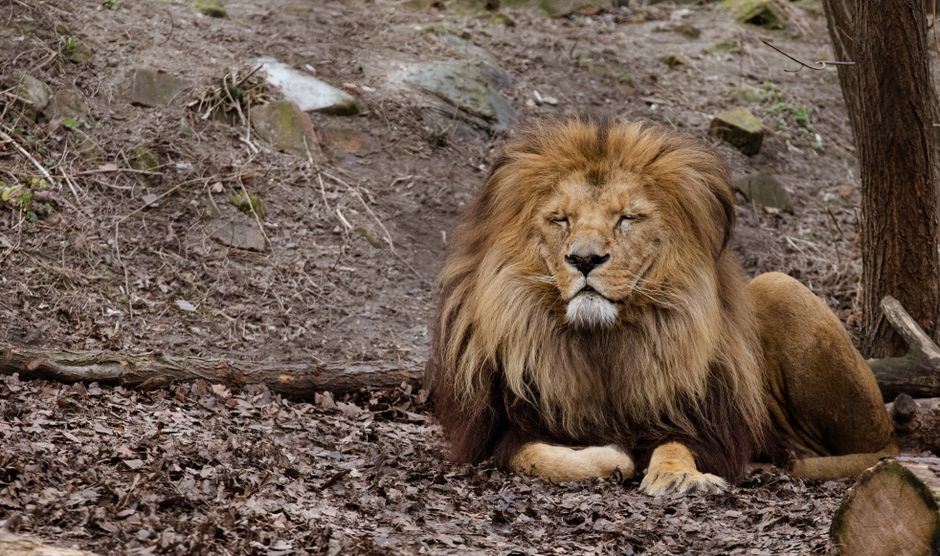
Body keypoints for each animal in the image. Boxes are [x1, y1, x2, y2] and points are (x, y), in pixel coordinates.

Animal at [426, 118, 898, 496]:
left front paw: (680, 478)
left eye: (627, 218)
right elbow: (543, 457)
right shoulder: (503, 431)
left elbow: (675, 444)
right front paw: (616, 456)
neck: (604, 344)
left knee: (882, 450)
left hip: (779, 286)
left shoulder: (703, 422)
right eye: (560, 219)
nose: (584, 259)